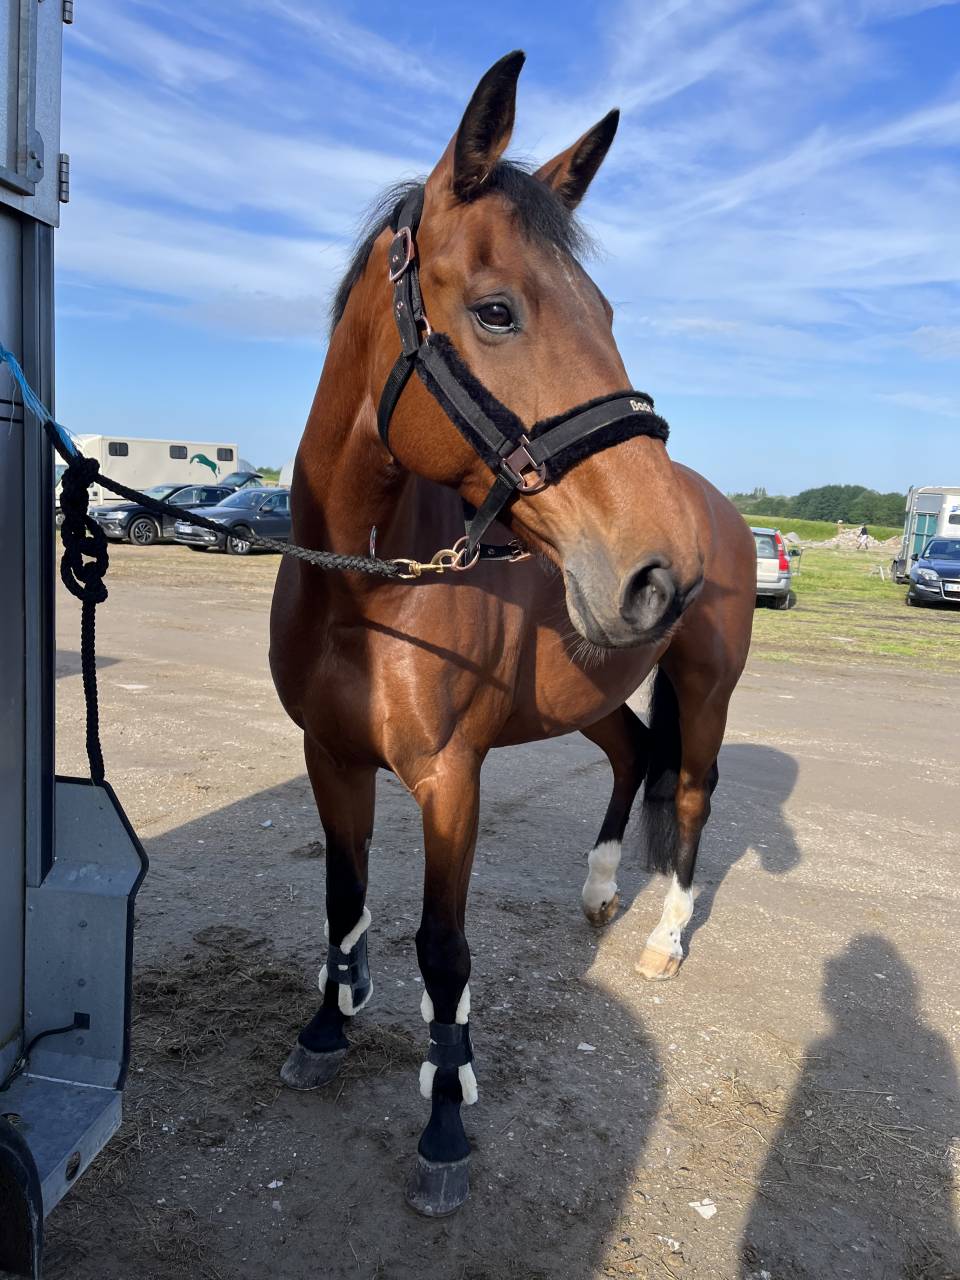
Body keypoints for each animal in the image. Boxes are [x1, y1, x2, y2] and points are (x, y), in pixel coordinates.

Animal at [270, 50, 756, 1216]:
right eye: (496, 312)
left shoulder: (451, 779)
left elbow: (444, 950)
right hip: (589, 693)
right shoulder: (329, 754)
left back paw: (664, 939)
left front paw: (445, 1120)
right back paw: (599, 892)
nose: (663, 572)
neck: (365, 596)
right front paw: (324, 1027)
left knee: (690, 788)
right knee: (634, 754)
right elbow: (342, 897)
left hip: (707, 686)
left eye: (607, 308)